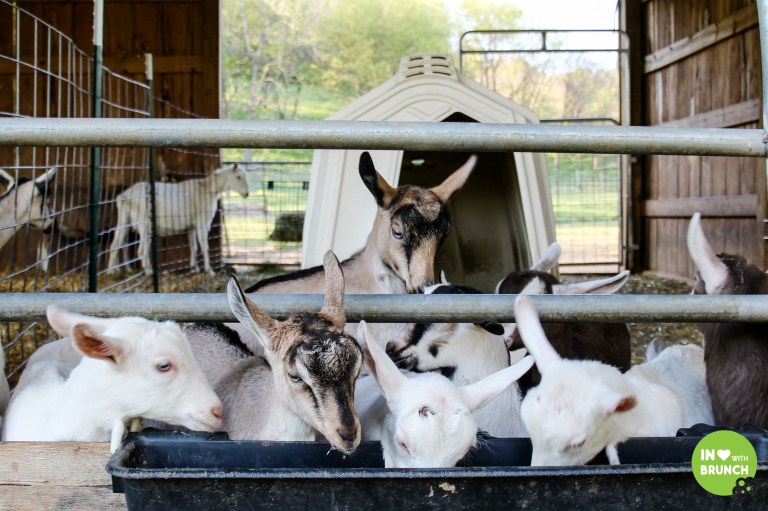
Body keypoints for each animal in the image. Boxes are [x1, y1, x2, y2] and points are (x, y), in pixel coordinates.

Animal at [108, 164, 249, 276]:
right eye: (238, 177)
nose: (246, 194)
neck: (206, 189)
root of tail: (125, 195)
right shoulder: (202, 224)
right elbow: (204, 246)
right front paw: (209, 271)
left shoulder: (191, 227)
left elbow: (194, 247)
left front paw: (194, 268)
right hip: (145, 225)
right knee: (141, 250)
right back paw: (148, 271)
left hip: (124, 221)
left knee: (116, 244)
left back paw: (112, 271)